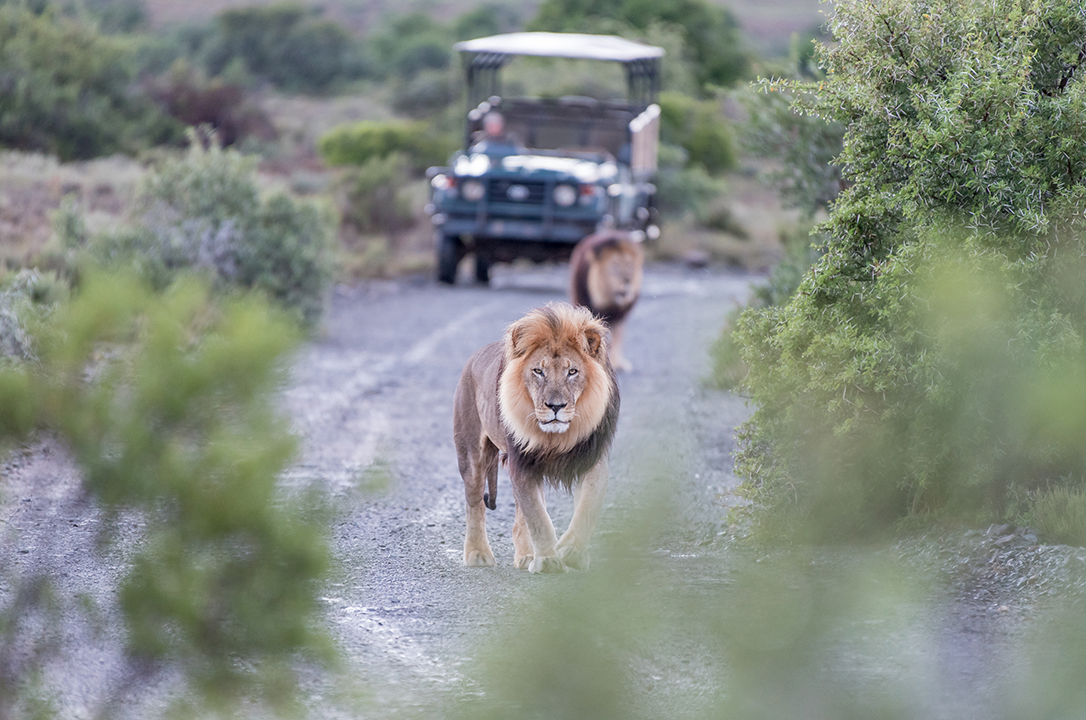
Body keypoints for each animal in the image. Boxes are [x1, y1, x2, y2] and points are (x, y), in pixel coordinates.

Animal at [451, 304, 621, 573]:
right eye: (538, 371)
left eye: (572, 372)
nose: (556, 406)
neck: (557, 438)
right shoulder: (522, 463)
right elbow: (538, 518)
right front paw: (548, 560)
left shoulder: (592, 459)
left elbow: (587, 508)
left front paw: (570, 552)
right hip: (471, 454)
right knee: (474, 502)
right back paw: (478, 554)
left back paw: (526, 556)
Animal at [569, 231, 642, 373]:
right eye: (615, 266)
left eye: (630, 265)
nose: (628, 280)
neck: (610, 303)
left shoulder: (621, 317)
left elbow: (617, 339)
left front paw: (618, 363)